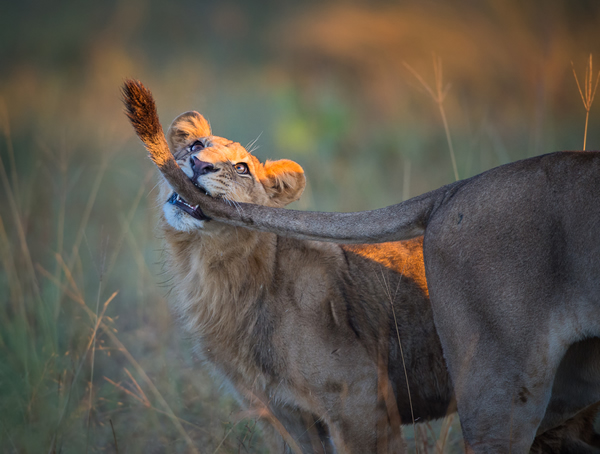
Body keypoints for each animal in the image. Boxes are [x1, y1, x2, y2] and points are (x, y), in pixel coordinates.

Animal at [122, 80, 600, 452]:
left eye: (241, 168)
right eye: (196, 145)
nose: (198, 164)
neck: (211, 273)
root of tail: (455, 189)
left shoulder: (361, 402)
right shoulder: (284, 416)